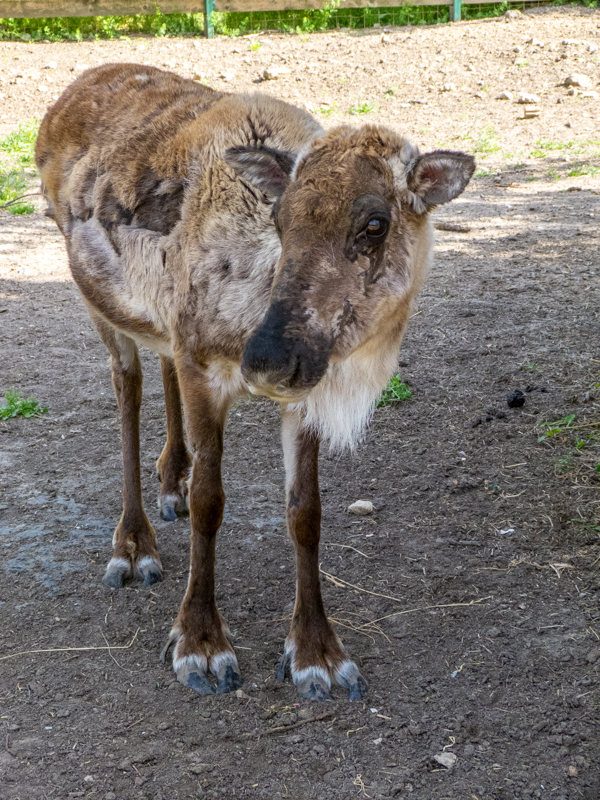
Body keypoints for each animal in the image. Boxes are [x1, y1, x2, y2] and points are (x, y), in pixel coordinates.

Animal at [35, 63, 475, 701]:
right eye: (281, 218)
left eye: (375, 223)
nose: (266, 359)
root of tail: (75, 87)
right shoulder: (204, 366)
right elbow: (212, 501)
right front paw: (200, 643)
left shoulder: (301, 391)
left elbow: (305, 512)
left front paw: (317, 652)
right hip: (98, 305)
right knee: (128, 386)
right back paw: (134, 545)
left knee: (158, 368)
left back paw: (169, 482)